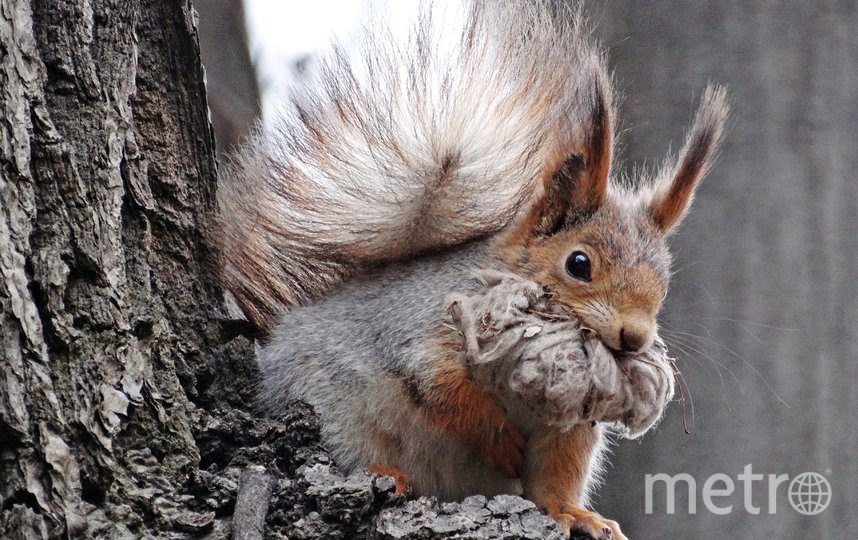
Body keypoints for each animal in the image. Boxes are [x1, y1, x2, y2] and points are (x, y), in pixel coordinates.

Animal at [217, 2, 724, 536]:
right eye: (579, 263)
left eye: (664, 284)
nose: (635, 337)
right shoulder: (423, 332)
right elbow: (444, 390)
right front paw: (499, 439)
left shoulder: (569, 423)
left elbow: (556, 475)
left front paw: (572, 512)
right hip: (332, 413)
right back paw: (388, 474)